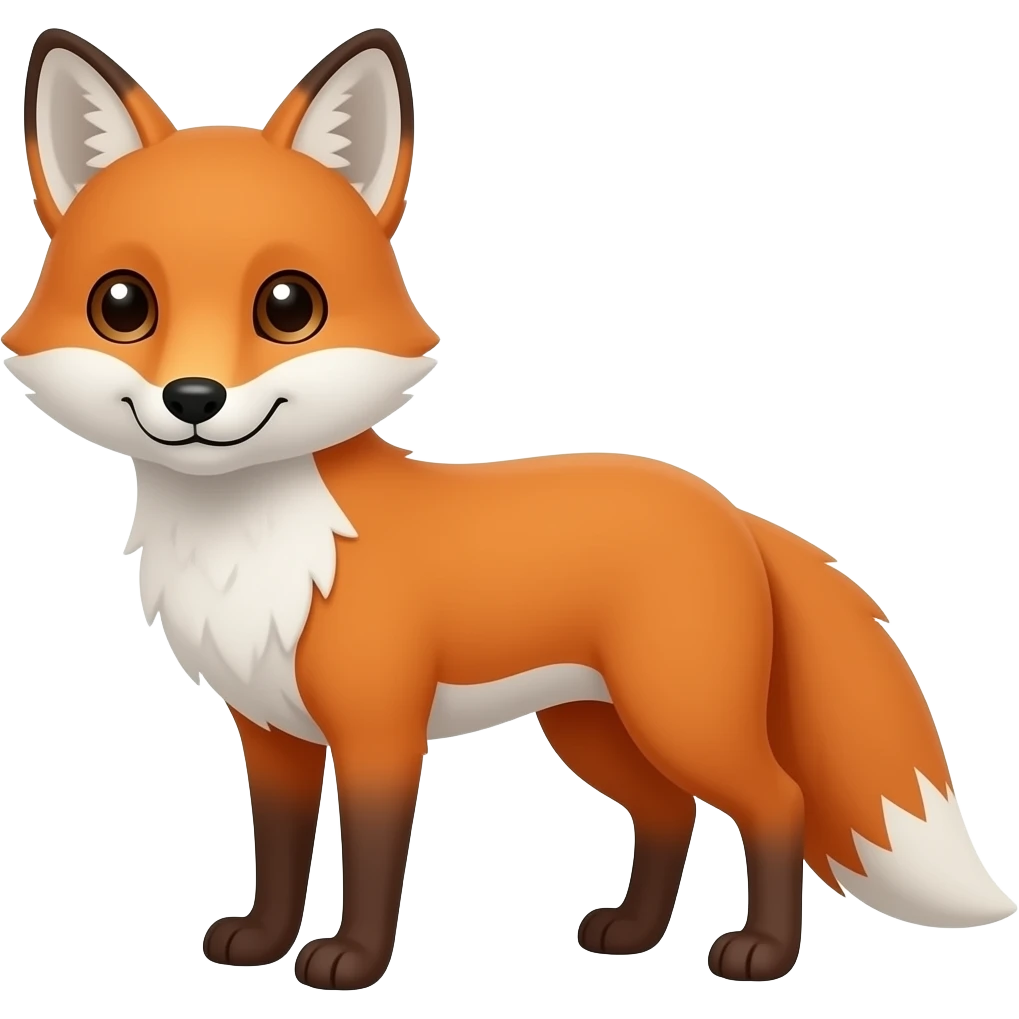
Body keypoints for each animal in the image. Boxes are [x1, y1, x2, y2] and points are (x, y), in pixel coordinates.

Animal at [5, 25, 1015, 991]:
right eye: (123, 304)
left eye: (288, 306)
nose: (194, 398)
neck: (259, 544)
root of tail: (724, 504)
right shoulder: (271, 731)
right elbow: (281, 853)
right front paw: (260, 941)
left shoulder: (379, 727)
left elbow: (371, 861)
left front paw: (350, 963)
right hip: (594, 727)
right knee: (669, 811)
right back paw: (630, 934)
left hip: (680, 713)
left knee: (776, 802)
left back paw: (760, 952)